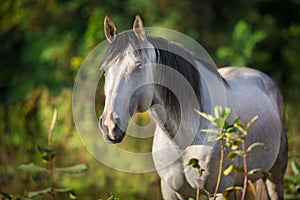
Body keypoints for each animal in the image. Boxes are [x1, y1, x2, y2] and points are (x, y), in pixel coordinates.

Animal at [99, 16, 288, 200]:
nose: (109, 125)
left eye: (138, 66)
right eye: (104, 70)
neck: (182, 141)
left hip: (275, 177)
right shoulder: (171, 192)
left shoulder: (219, 191)